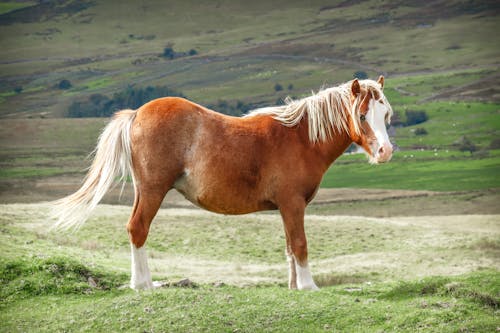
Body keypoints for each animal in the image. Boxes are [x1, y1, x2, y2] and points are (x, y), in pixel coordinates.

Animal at [51, 76, 394, 290]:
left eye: (386, 114)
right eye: (362, 116)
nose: (385, 151)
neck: (300, 137)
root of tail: (137, 113)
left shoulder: (286, 208)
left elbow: (289, 248)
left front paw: (294, 287)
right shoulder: (293, 204)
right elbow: (300, 245)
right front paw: (309, 286)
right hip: (152, 191)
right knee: (138, 229)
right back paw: (143, 285)